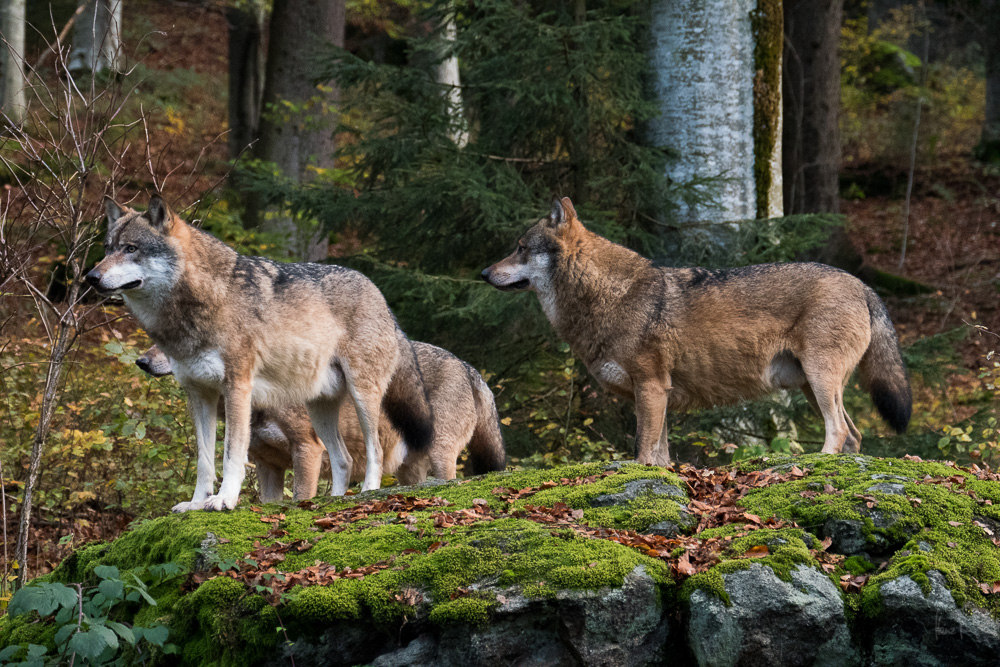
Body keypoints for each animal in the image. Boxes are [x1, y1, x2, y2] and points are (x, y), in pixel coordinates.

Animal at [86, 193, 430, 512]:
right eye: (108, 248)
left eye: (131, 249)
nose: (91, 277)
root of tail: (383, 300)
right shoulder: (199, 393)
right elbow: (204, 460)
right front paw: (196, 503)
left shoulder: (237, 386)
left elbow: (231, 455)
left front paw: (224, 500)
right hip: (319, 409)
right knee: (343, 458)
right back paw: (330, 501)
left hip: (362, 396)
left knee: (375, 451)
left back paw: (368, 492)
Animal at [137, 342, 504, 504]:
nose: (141, 361)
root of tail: (468, 367)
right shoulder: (268, 467)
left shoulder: (307, 451)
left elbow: (301, 497)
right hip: (408, 471)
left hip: (440, 457)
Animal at [480, 197, 912, 464]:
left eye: (520, 248)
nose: (483, 273)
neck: (608, 295)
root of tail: (862, 284)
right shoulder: (657, 395)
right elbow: (661, 456)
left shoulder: (652, 388)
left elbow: (642, 451)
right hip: (811, 385)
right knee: (854, 435)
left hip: (820, 380)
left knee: (838, 430)